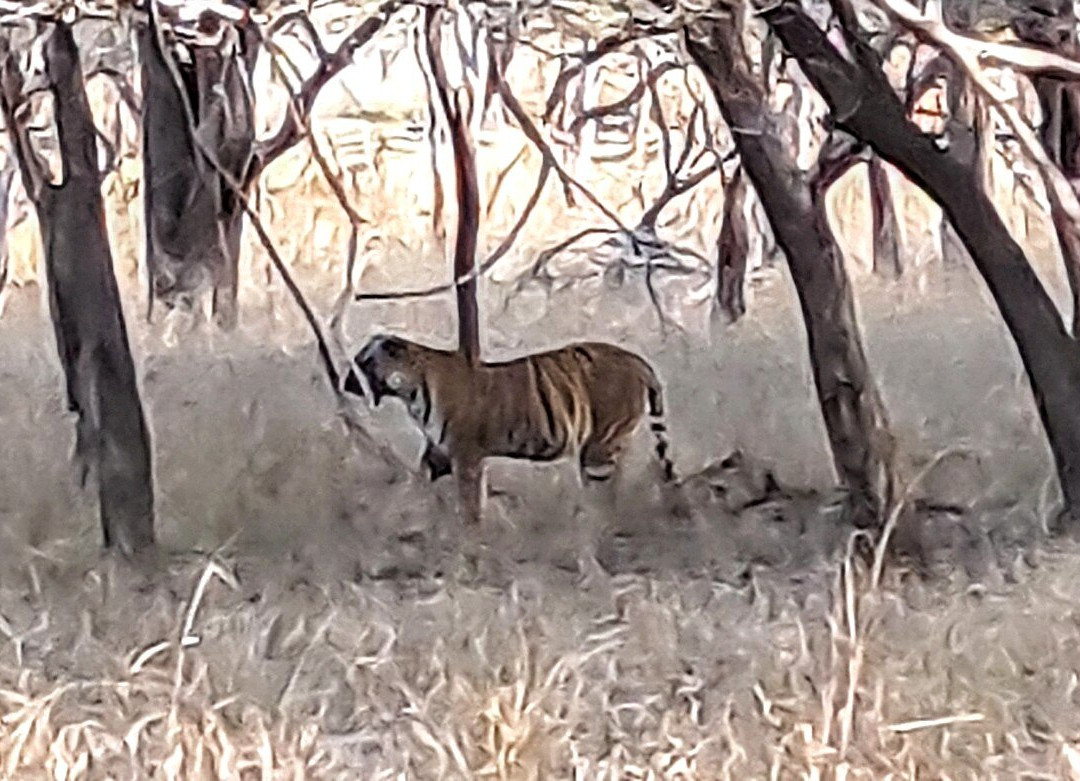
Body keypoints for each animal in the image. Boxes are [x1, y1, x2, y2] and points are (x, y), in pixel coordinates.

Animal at [344, 333, 688, 526]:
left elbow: (470, 506)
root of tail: (638, 360)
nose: (347, 384)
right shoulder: (438, 454)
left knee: (604, 497)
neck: (410, 391)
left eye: (363, 362)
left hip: (599, 448)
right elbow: (411, 487)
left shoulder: (465, 457)